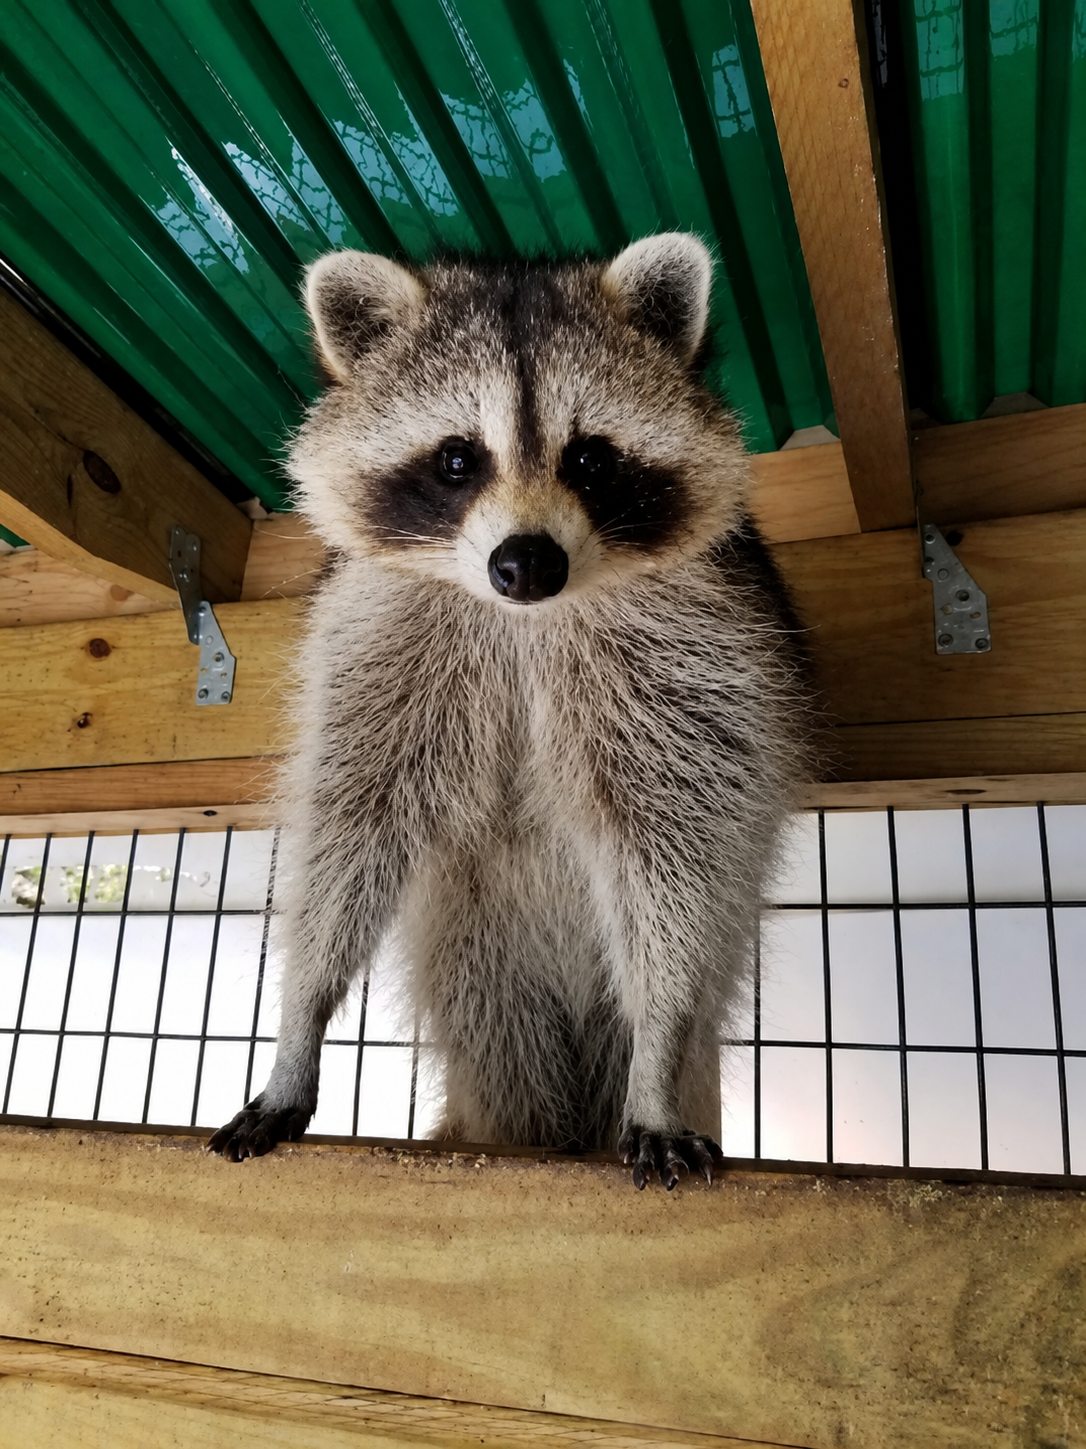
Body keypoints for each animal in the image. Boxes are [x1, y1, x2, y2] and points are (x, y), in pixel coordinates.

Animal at [209, 234, 810, 1189]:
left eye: (591, 459)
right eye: (458, 459)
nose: (527, 563)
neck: (524, 620)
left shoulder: (698, 653)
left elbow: (676, 860)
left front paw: (656, 1049)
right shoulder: (372, 637)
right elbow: (347, 832)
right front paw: (300, 1023)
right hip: (478, 957)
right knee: (506, 1055)